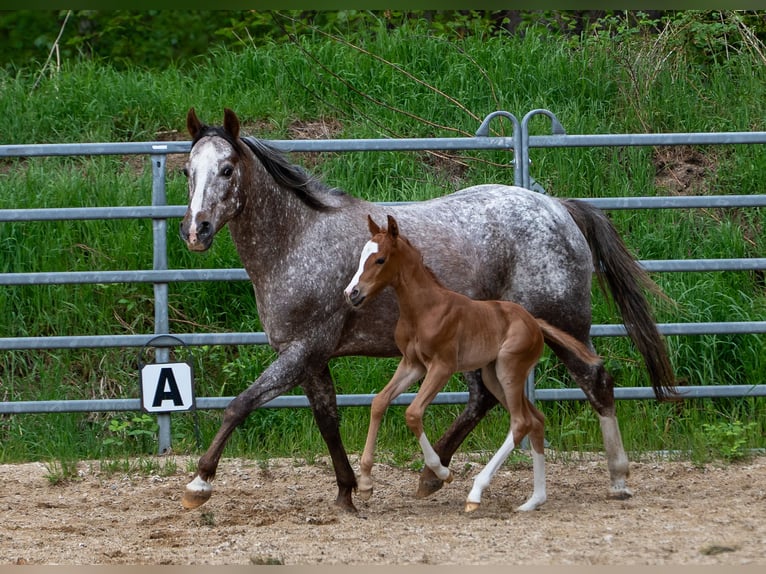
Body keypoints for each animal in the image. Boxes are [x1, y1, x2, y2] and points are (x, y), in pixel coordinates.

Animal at [344, 214, 603, 512]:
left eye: (380, 259)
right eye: (362, 256)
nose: (352, 293)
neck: (424, 309)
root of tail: (534, 322)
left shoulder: (442, 367)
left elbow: (412, 413)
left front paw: (442, 473)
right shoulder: (412, 364)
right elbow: (379, 402)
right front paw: (365, 483)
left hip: (509, 370)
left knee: (520, 422)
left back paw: (476, 493)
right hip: (493, 375)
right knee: (536, 420)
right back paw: (533, 500)